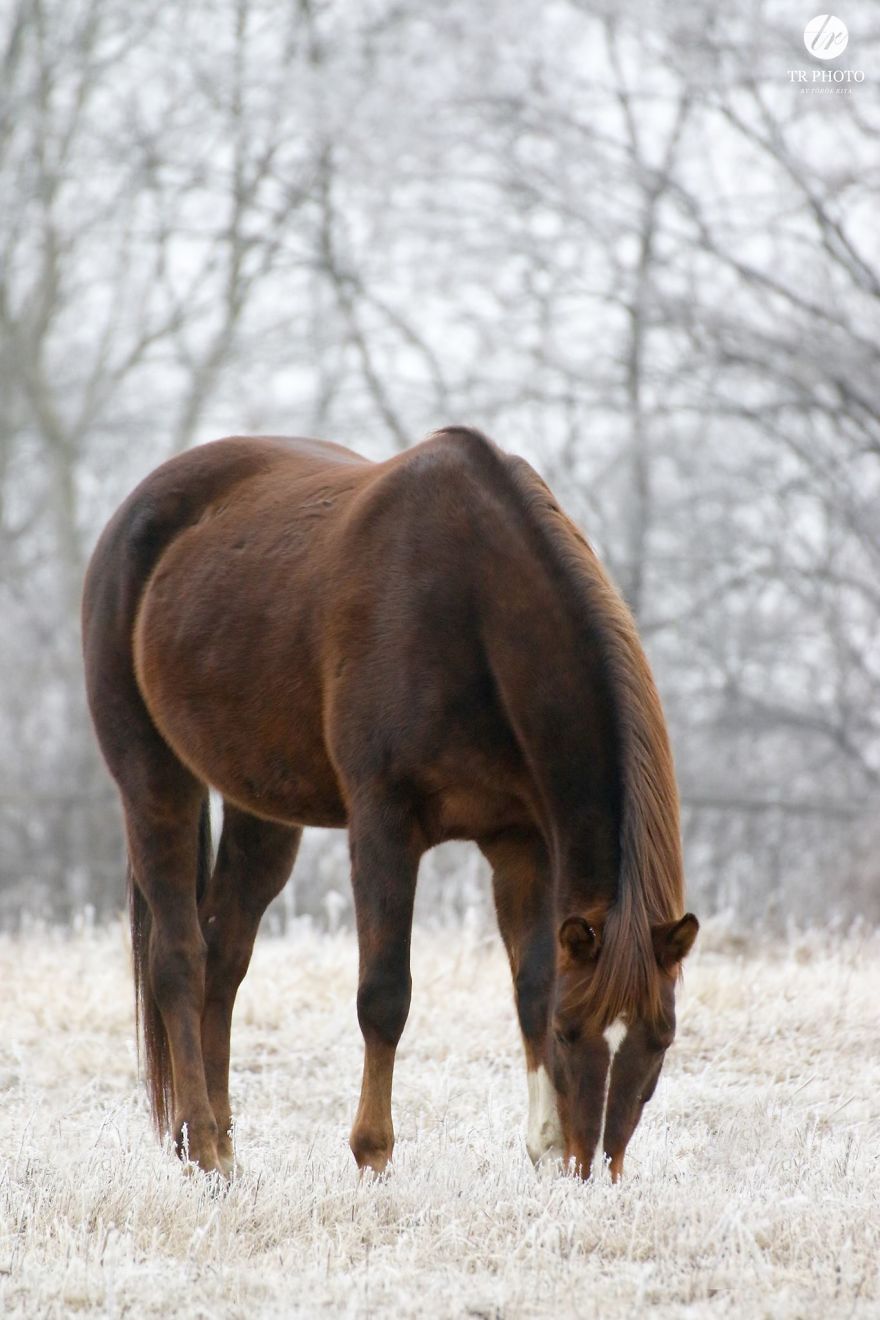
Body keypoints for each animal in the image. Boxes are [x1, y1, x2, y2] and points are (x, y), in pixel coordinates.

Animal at [82, 426, 698, 1182]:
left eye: (661, 1040)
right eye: (572, 1031)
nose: (594, 1173)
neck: (472, 606)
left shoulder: (521, 842)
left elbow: (530, 983)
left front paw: (544, 1147)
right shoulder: (383, 825)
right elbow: (384, 995)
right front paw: (372, 1155)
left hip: (263, 807)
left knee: (224, 956)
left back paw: (223, 1145)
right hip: (154, 780)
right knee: (177, 959)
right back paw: (203, 1149)